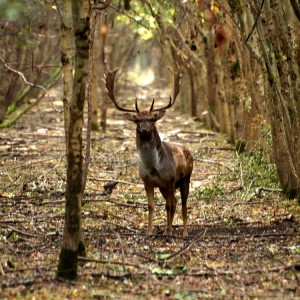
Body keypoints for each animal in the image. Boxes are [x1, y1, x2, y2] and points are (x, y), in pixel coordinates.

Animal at [105, 68, 193, 237]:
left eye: (152, 119)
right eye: (137, 120)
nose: (145, 129)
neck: (153, 168)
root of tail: (188, 151)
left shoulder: (170, 179)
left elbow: (168, 206)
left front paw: (168, 232)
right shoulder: (147, 181)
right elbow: (151, 206)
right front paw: (149, 231)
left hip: (186, 178)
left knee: (183, 204)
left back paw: (184, 232)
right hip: (164, 187)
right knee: (175, 202)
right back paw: (166, 229)